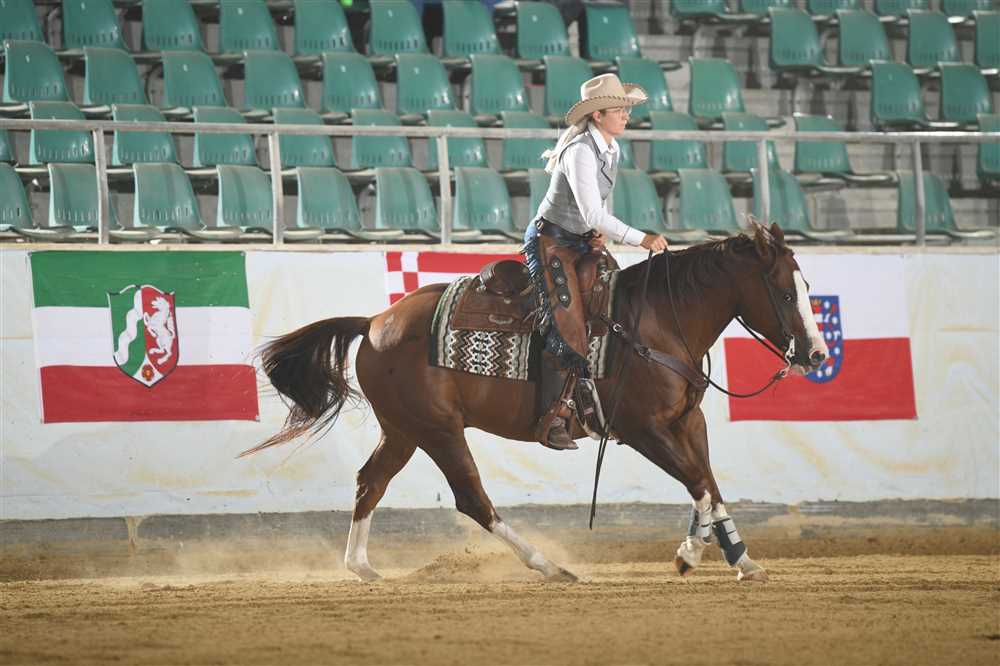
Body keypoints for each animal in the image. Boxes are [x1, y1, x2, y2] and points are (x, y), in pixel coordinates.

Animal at [244, 221, 828, 583]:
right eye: (784, 292)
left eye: (806, 288)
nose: (817, 354)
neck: (659, 321)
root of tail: (374, 322)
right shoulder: (643, 430)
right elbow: (700, 485)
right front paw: (688, 555)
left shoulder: (689, 421)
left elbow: (707, 483)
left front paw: (741, 560)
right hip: (438, 430)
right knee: (471, 500)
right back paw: (550, 567)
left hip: (403, 429)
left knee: (371, 481)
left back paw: (362, 567)